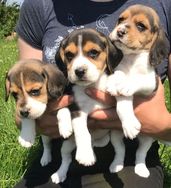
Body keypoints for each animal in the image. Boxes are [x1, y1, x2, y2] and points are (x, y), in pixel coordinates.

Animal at [50, 27, 121, 184]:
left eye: (93, 52)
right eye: (69, 55)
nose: (79, 71)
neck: (91, 85)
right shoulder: (78, 111)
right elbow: (83, 133)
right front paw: (85, 156)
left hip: (114, 135)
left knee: (119, 149)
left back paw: (116, 165)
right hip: (67, 145)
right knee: (66, 158)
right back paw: (60, 173)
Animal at [106, 4, 169, 178]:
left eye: (141, 26)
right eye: (121, 19)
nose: (120, 31)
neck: (132, 59)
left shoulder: (151, 83)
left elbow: (137, 80)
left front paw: (127, 84)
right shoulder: (119, 70)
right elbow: (122, 98)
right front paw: (114, 83)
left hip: (147, 139)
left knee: (141, 153)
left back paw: (141, 169)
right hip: (115, 135)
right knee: (120, 150)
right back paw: (116, 165)